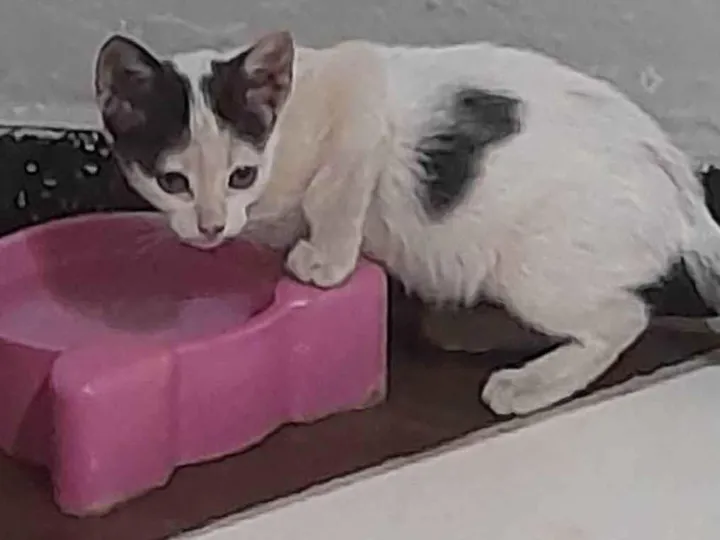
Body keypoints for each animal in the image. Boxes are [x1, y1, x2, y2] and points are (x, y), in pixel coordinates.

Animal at [93, 30, 720, 416]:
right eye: (173, 182)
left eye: (241, 175)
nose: (211, 226)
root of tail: (683, 185)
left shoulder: (359, 88)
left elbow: (335, 188)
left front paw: (324, 261)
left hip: (536, 268)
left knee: (624, 316)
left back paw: (528, 382)